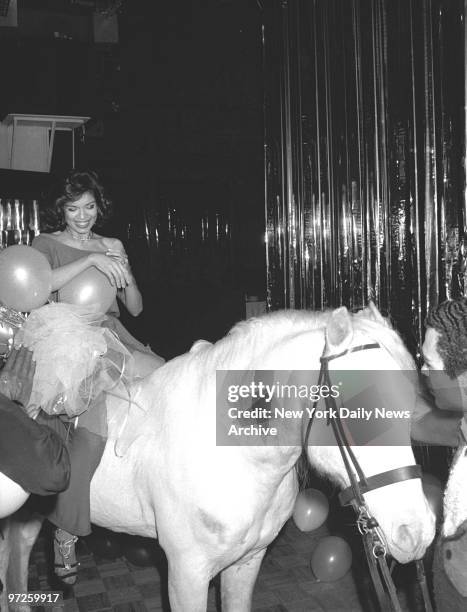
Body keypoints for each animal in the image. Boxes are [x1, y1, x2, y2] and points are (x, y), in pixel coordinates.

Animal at [1, 308, 436, 608]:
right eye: (357, 409)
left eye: (411, 410)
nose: (416, 533)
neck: (236, 459)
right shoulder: (186, 575)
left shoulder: (246, 562)